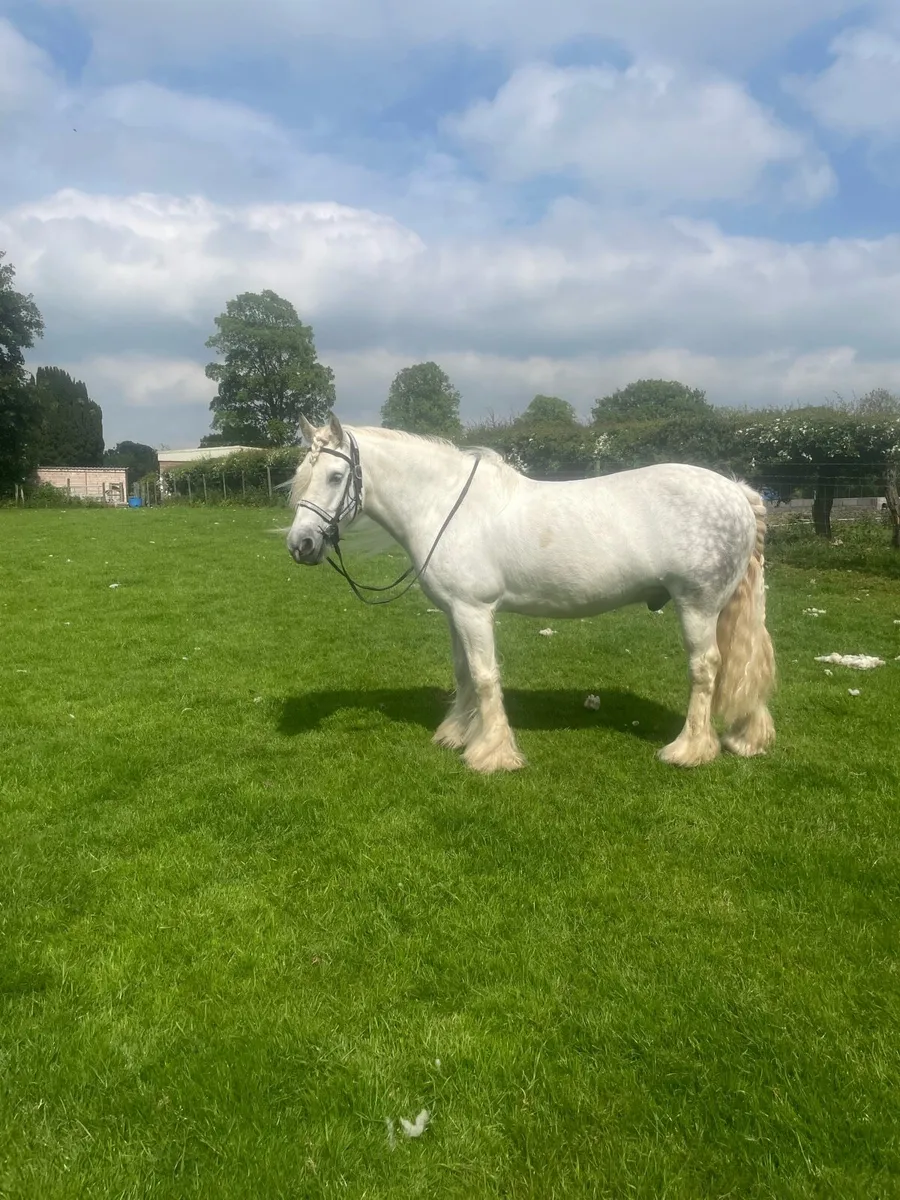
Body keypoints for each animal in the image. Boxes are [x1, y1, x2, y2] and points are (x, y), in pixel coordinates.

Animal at [286, 413, 776, 774]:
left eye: (335, 476)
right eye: (301, 476)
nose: (300, 544)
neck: (445, 505)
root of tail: (736, 492)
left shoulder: (474, 611)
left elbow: (485, 676)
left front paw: (492, 754)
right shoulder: (455, 612)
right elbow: (464, 673)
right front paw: (456, 734)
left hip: (697, 605)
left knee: (706, 668)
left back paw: (689, 749)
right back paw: (743, 738)